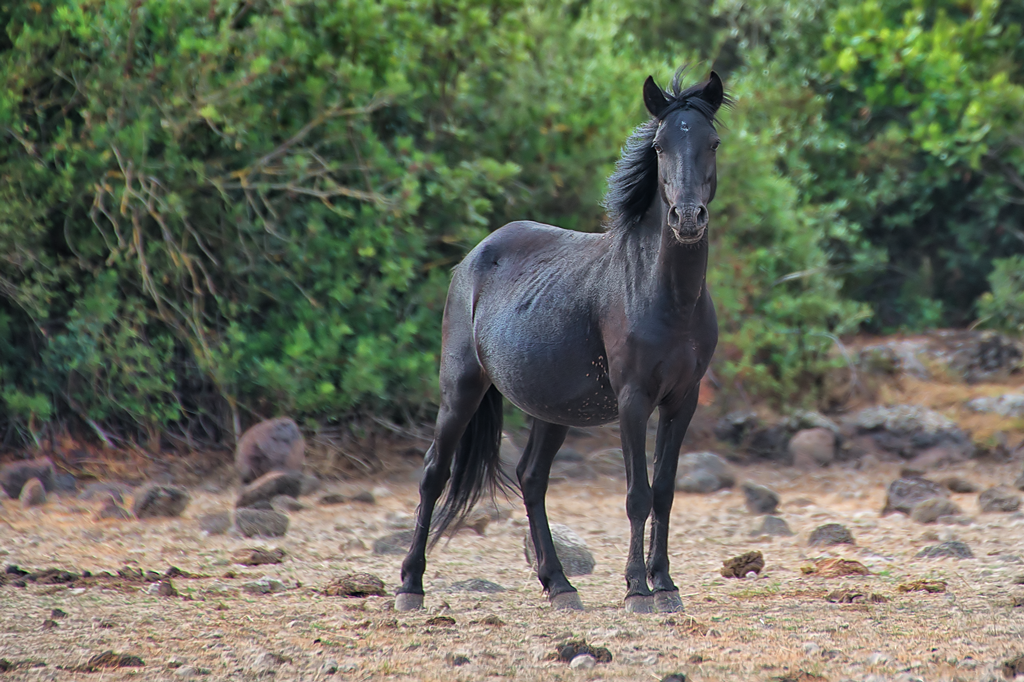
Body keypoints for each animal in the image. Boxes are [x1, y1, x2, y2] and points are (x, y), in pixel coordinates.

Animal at [395, 69, 724, 610]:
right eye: (659, 147)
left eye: (712, 142)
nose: (688, 218)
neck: (666, 296)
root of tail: (475, 255)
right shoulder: (633, 399)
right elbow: (638, 495)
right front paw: (637, 589)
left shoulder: (683, 400)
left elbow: (665, 491)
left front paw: (666, 585)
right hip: (461, 388)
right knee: (433, 474)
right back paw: (410, 585)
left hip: (550, 410)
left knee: (531, 479)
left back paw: (559, 584)